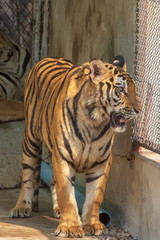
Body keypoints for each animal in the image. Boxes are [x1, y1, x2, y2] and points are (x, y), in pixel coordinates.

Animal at [10, 55, 140, 236]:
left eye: (135, 90)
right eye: (121, 90)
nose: (138, 110)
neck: (95, 122)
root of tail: (50, 57)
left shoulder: (102, 161)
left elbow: (94, 197)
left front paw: (93, 224)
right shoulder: (63, 157)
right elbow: (67, 195)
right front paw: (70, 227)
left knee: (52, 181)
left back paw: (57, 210)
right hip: (30, 140)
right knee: (28, 176)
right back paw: (21, 207)